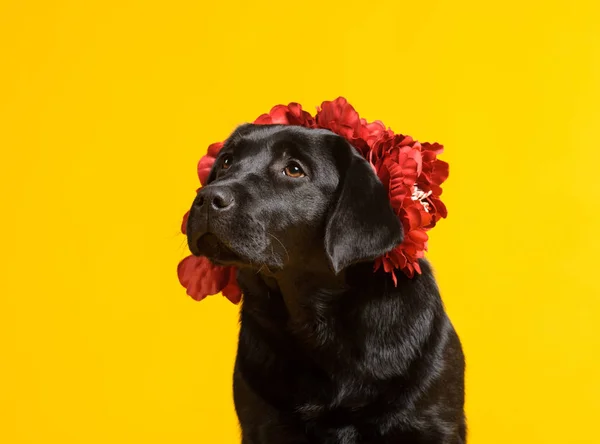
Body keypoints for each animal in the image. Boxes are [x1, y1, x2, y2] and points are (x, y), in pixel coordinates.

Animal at [185, 123, 466, 442]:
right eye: (226, 161)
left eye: (294, 169)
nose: (207, 199)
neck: (317, 323)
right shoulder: (261, 422)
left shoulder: (431, 423)